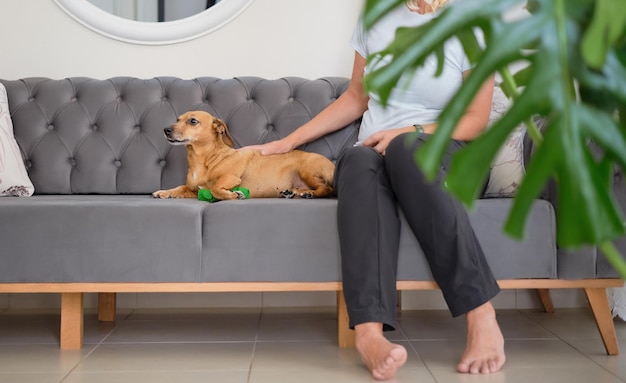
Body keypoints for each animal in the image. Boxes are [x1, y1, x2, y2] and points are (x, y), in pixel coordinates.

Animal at [152, 111, 334, 201]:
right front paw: (164, 192)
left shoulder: (231, 177)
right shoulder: (193, 190)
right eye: (177, 119)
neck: (205, 159)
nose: (166, 130)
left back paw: (308, 194)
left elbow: (216, 188)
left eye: (193, 121)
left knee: (328, 189)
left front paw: (233, 195)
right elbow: (179, 188)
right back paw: (293, 192)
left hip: (307, 170)